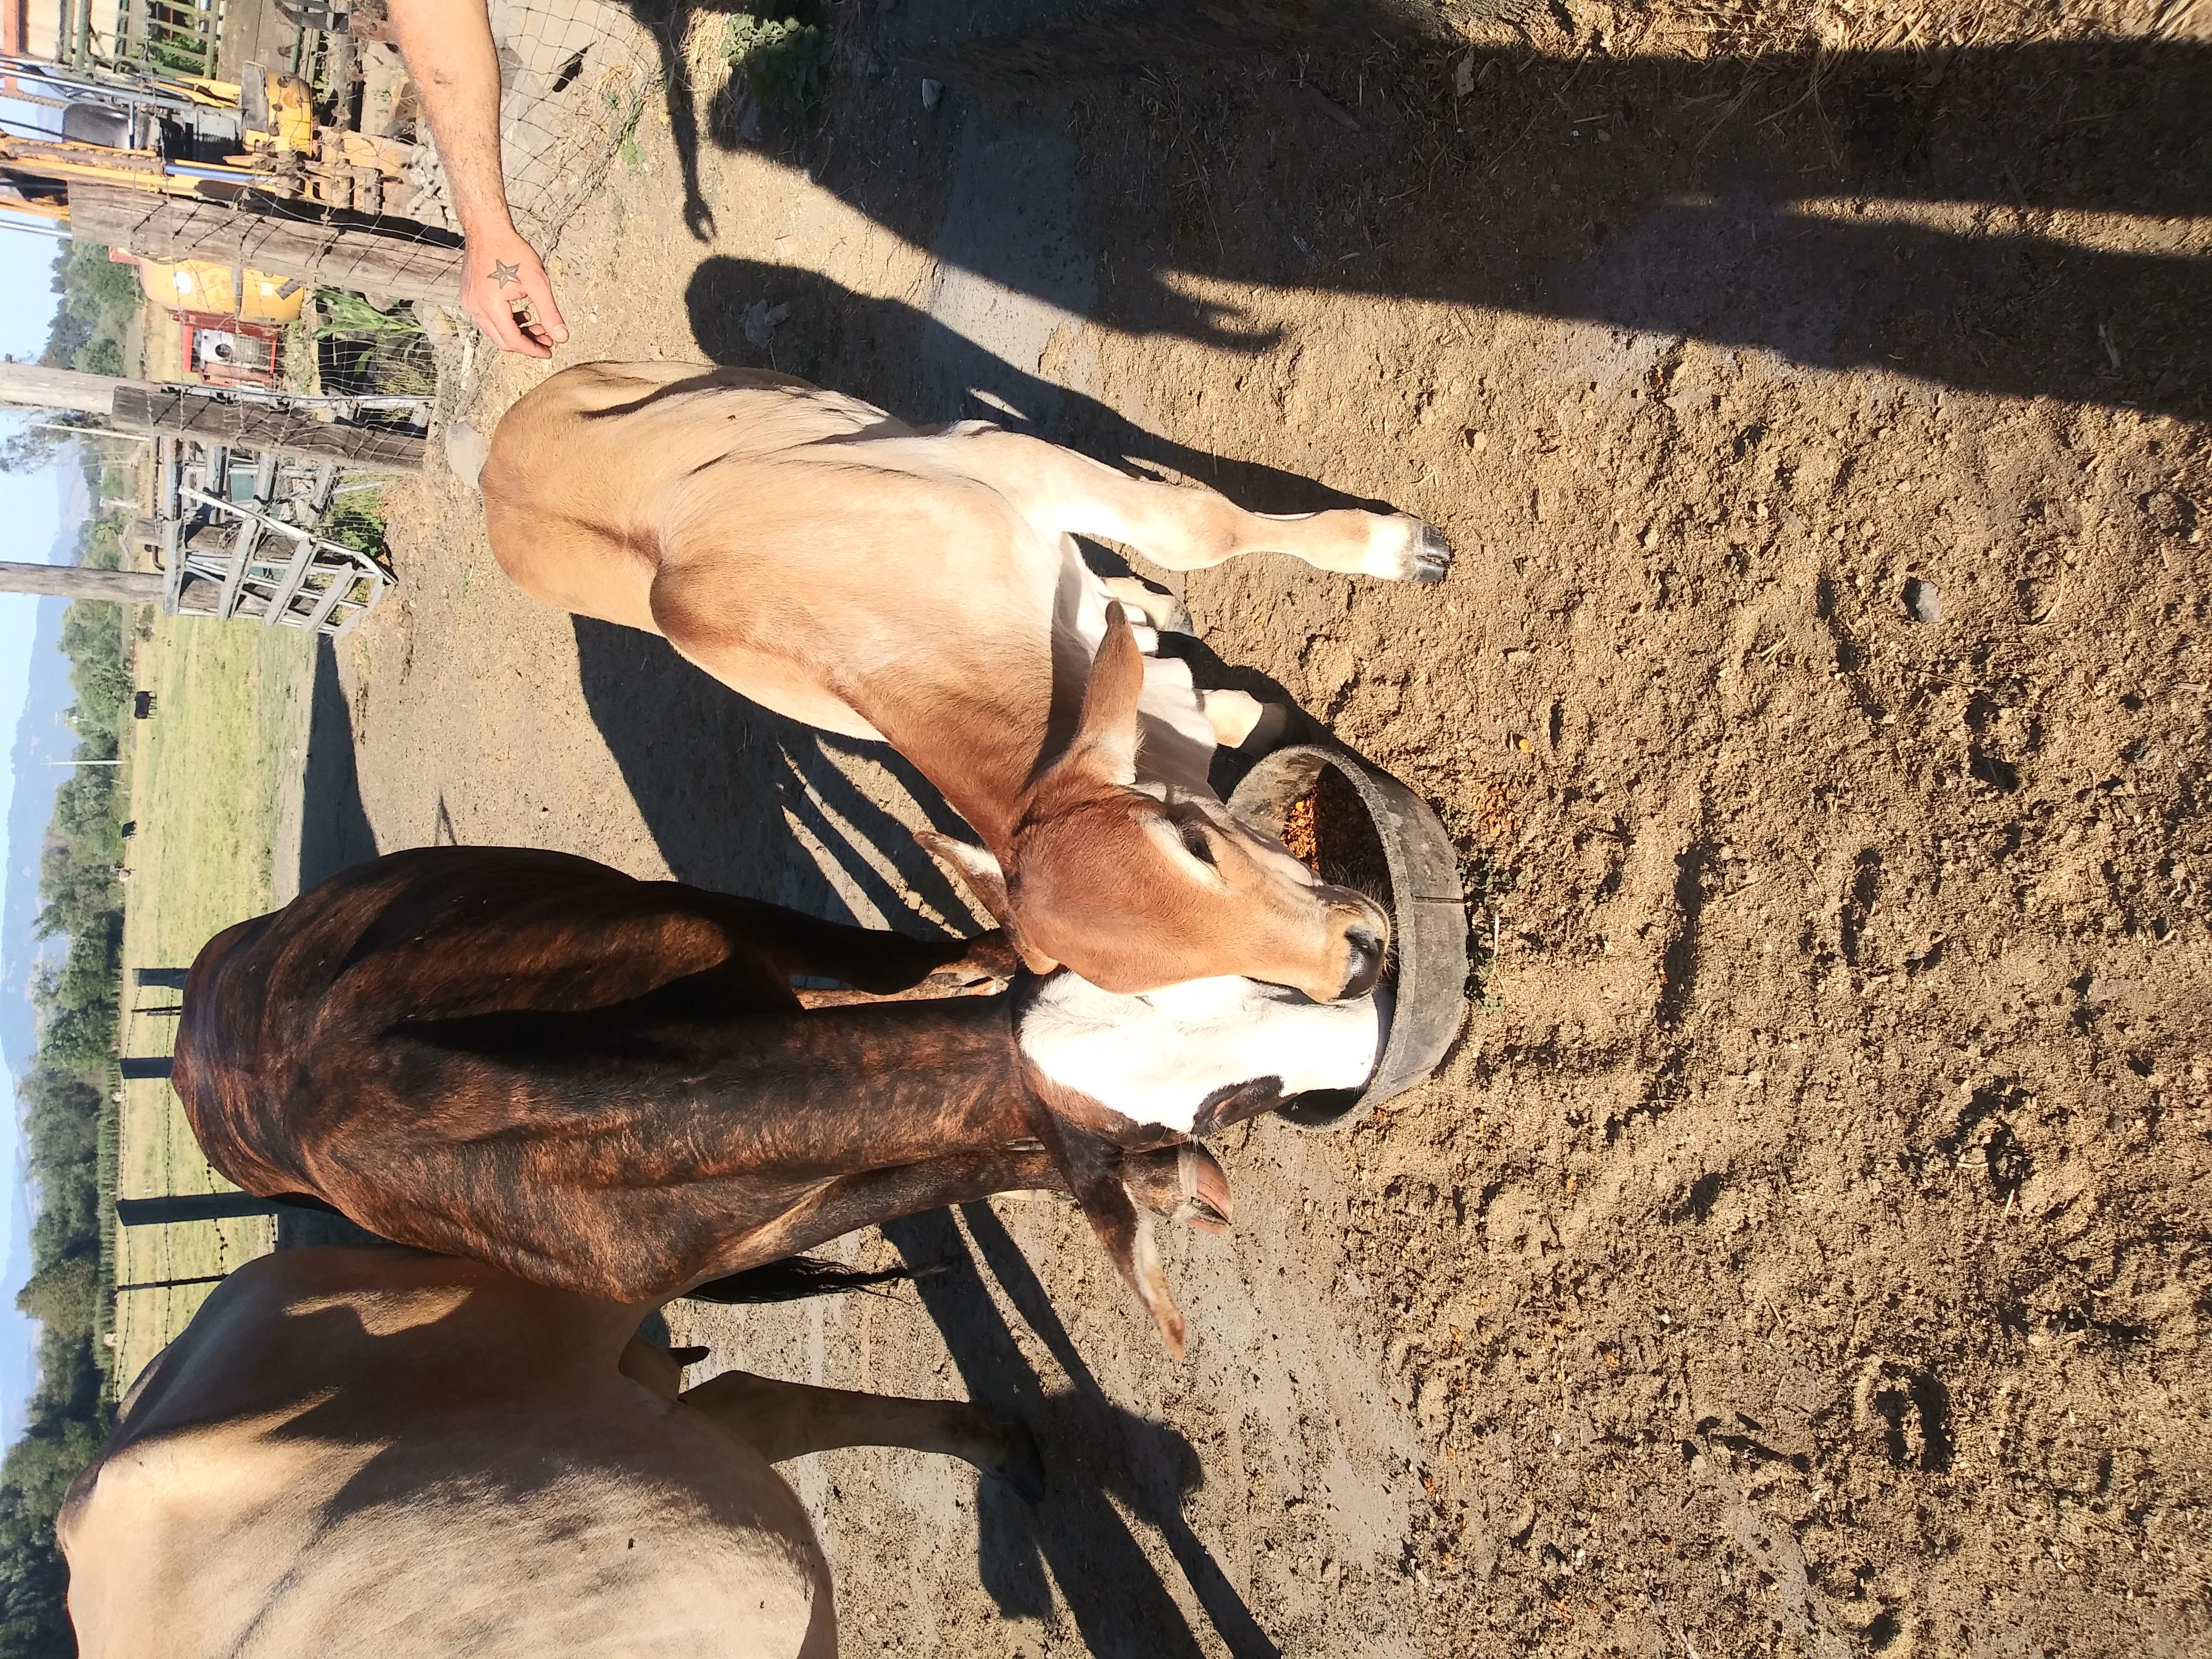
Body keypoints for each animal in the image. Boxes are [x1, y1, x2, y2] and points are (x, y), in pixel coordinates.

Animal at [480, 361, 1450, 1001]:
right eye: (1170, 981)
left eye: (1196, 843)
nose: (1353, 960)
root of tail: (488, 472)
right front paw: (1229, 695)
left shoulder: (1010, 461)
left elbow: (1197, 527)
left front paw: (1395, 547)